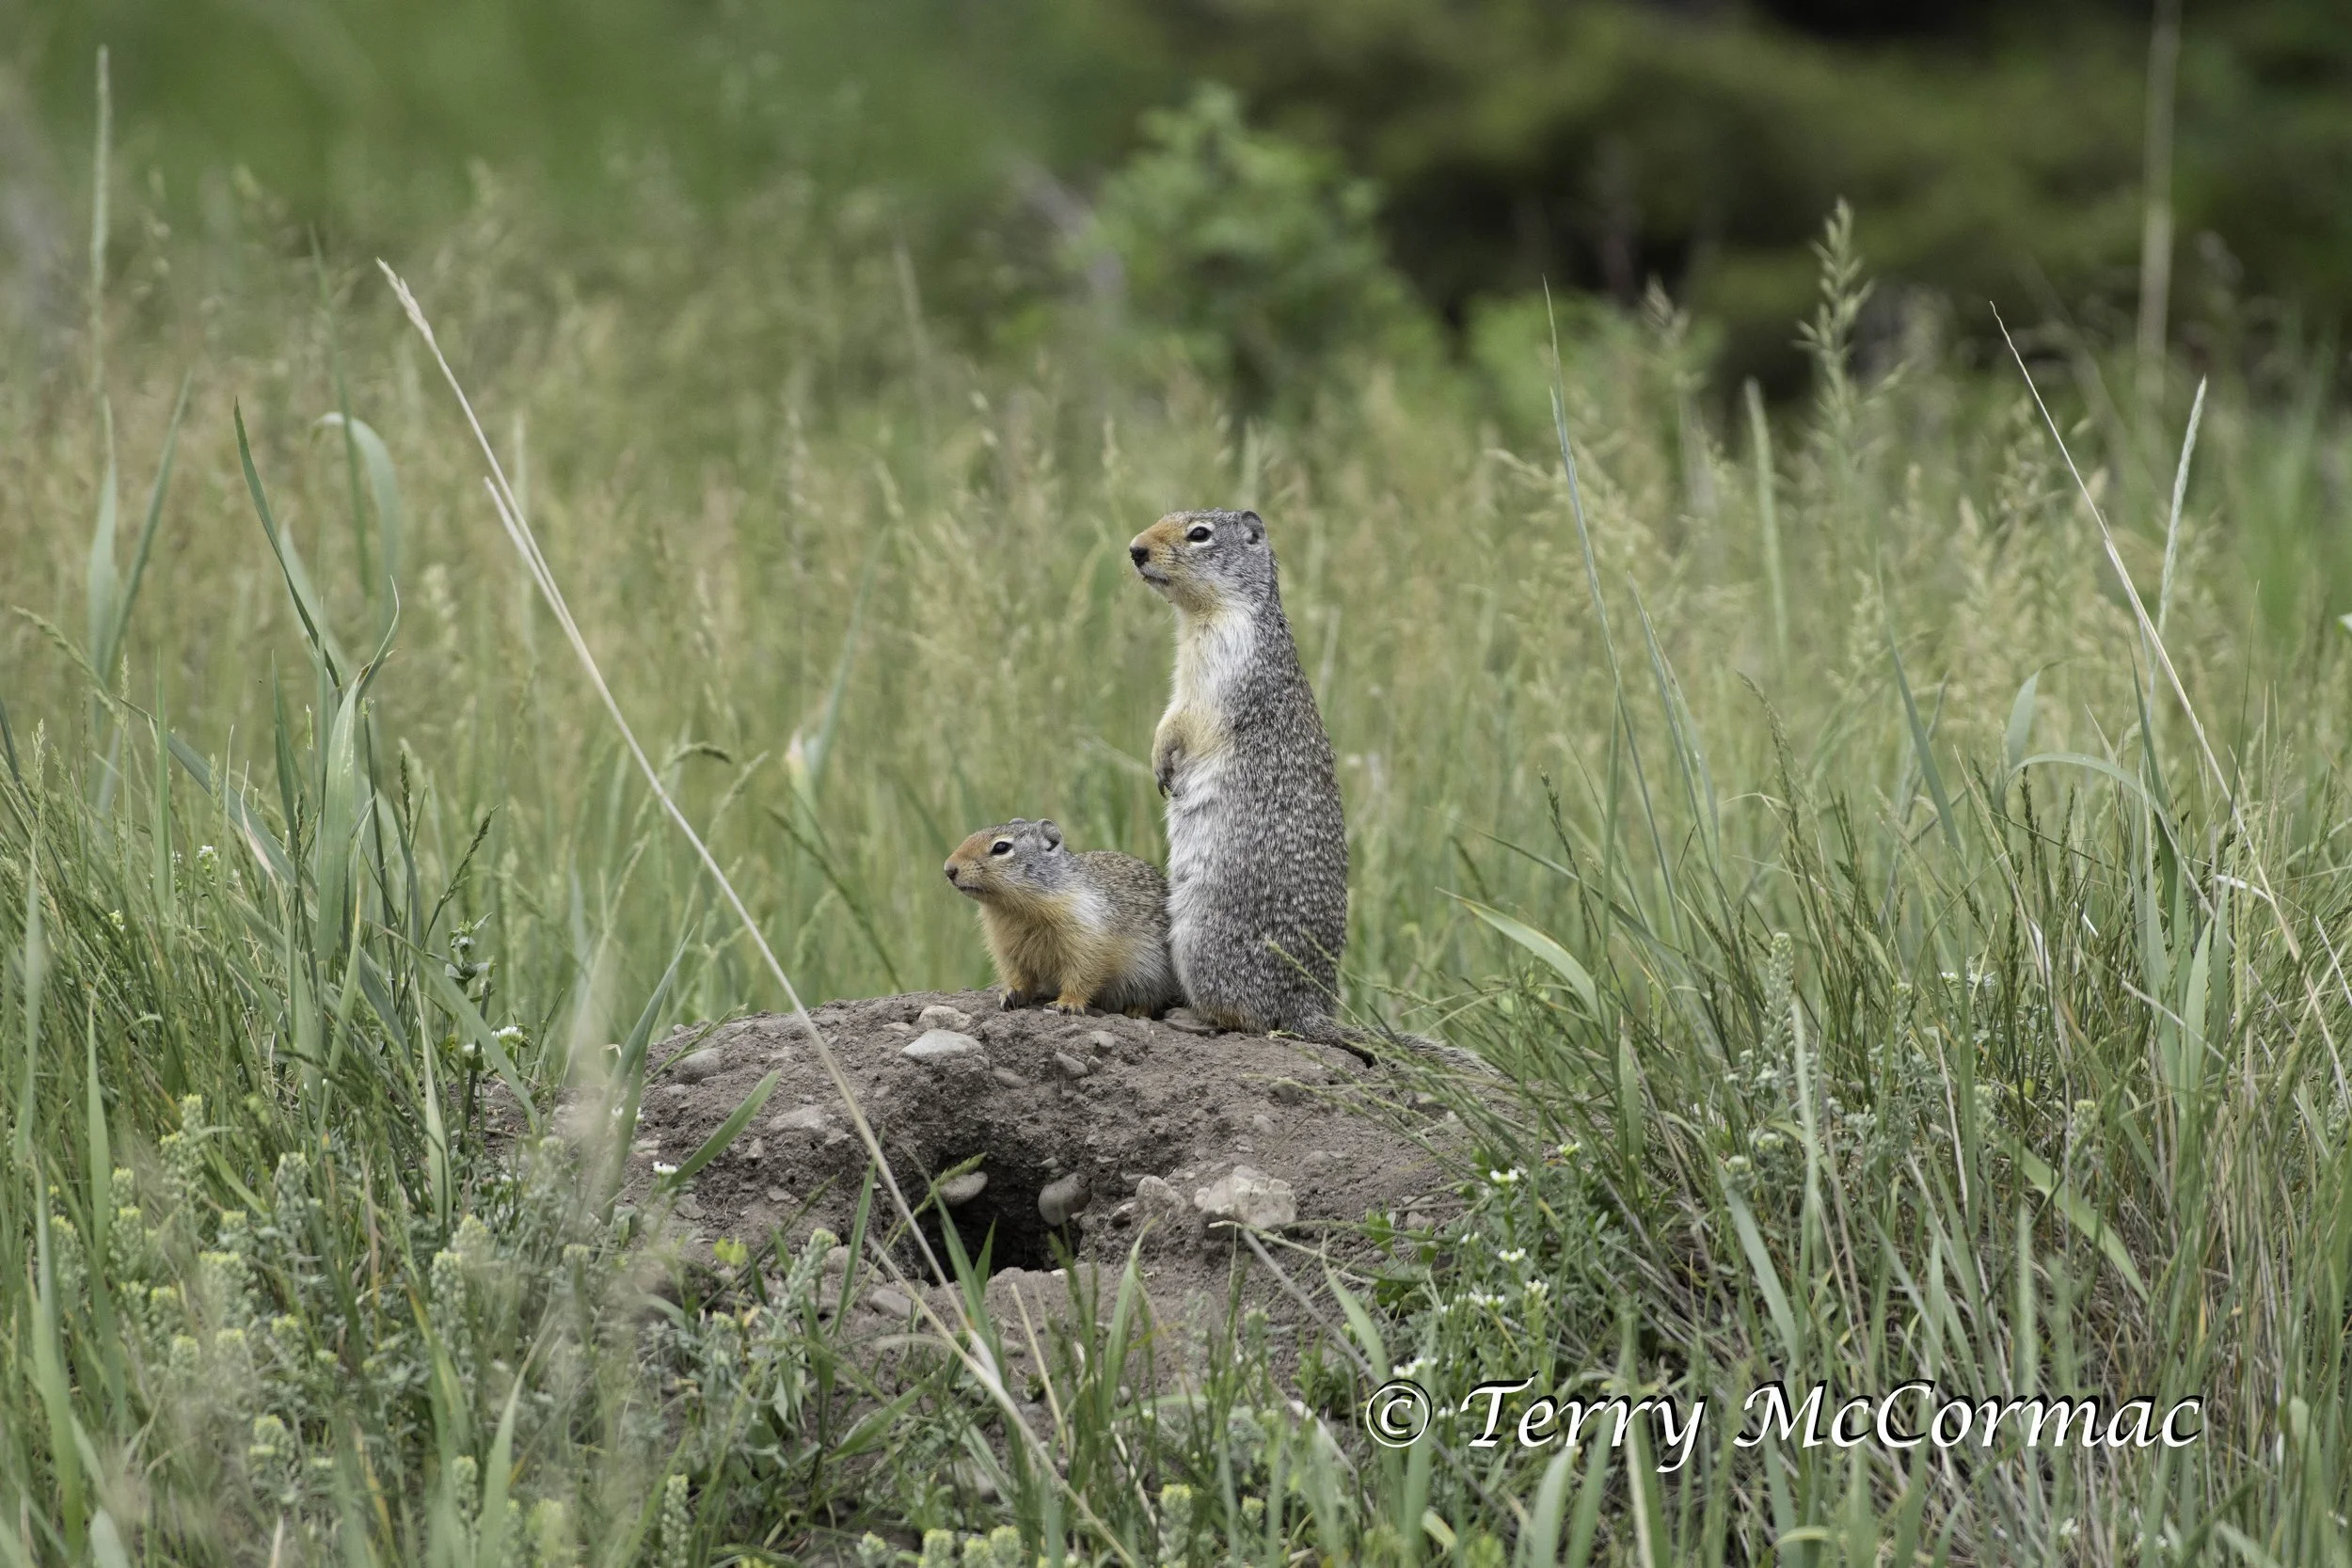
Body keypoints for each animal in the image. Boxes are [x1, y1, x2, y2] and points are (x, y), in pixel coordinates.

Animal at [943, 818, 1182, 1016]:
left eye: (1001, 847)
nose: (948, 869)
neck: (1013, 909)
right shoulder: (1006, 947)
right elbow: (1016, 973)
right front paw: (1010, 994)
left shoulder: (1087, 936)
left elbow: (1082, 974)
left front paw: (1067, 1004)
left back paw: (1136, 1010)